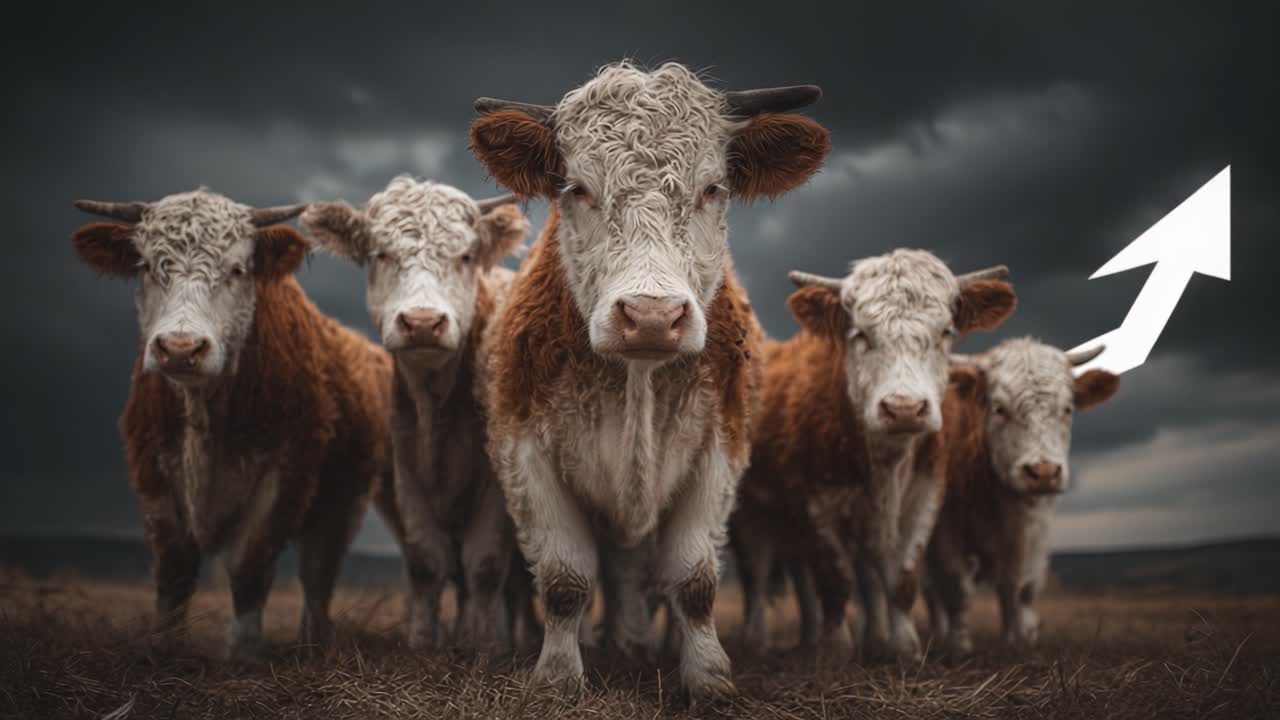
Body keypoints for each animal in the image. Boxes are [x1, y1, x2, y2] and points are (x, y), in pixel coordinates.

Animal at [69, 189, 391, 660]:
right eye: (146, 265)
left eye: (237, 269)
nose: (180, 349)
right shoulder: (153, 474)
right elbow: (174, 566)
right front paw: (164, 645)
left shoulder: (282, 476)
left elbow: (249, 563)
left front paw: (243, 649)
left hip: (341, 502)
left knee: (318, 574)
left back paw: (314, 641)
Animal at [299, 176, 533, 650]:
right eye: (380, 254)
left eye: (465, 255)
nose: (423, 322)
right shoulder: (409, 475)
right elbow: (426, 563)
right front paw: (425, 642)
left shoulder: (497, 489)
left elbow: (485, 566)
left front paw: (485, 646)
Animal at [467, 61, 830, 700]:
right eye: (577, 188)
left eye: (713, 188)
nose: (652, 315)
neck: (637, 379)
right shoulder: (523, 451)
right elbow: (564, 579)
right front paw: (557, 676)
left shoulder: (720, 451)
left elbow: (693, 580)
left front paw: (708, 676)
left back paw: (632, 642)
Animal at [733, 250, 1017, 661]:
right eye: (860, 334)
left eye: (946, 333)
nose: (904, 409)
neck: (886, 463)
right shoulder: (815, 504)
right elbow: (835, 578)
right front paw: (835, 649)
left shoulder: (924, 495)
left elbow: (901, 577)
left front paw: (901, 645)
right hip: (751, 516)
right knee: (756, 574)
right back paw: (757, 640)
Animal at [924, 338, 1120, 655]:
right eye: (999, 408)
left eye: (1067, 409)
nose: (1043, 472)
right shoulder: (944, 532)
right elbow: (956, 588)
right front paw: (959, 645)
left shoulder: (1030, 530)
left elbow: (1016, 586)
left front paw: (1018, 640)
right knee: (931, 591)